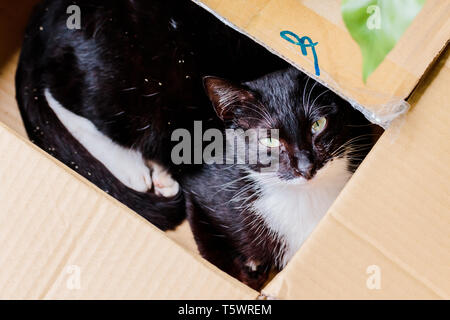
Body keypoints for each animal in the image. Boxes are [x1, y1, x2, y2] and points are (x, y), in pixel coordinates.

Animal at [15, 0, 378, 290]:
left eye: (318, 125)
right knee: (57, 95)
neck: (303, 199)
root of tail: (46, 11)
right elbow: (219, 255)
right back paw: (135, 170)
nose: (305, 165)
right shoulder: (204, 193)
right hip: (126, 91)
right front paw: (248, 273)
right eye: (269, 139)